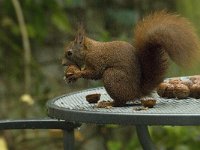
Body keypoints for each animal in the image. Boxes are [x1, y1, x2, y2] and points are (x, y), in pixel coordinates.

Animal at [61, 10, 199, 105]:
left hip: (112, 76)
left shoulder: (97, 60)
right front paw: (70, 77)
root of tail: (136, 92)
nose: (62, 63)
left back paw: (111, 103)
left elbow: (95, 73)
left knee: (122, 101)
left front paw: (76, 74)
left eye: (69, 53)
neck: (89, 50)